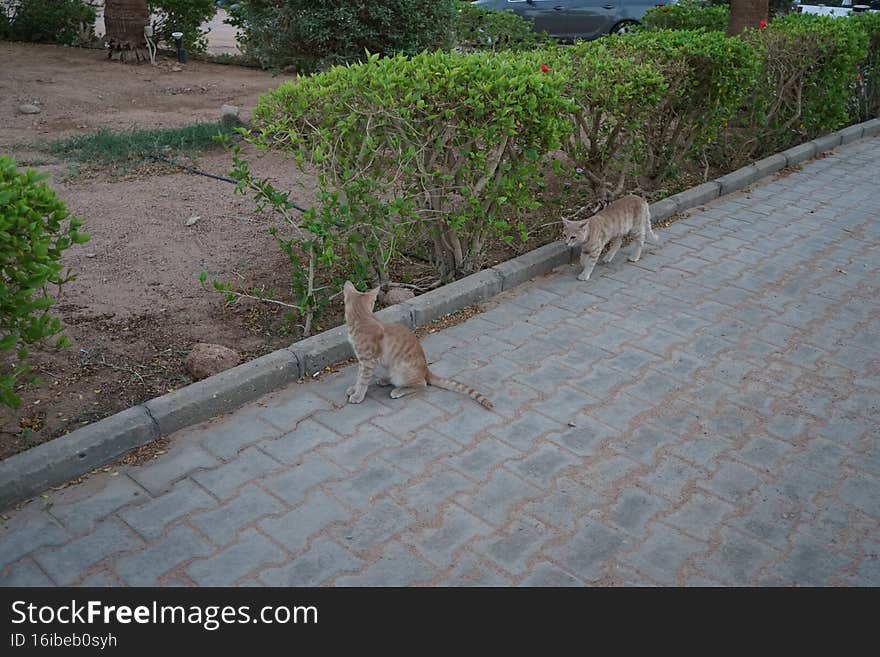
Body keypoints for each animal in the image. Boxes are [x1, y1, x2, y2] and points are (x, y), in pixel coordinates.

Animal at [344, 282, 496, 410]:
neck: (362, 318)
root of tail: (426, 370)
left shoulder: (368, 361)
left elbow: (363, 380)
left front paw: (358, 395)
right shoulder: (362, 361)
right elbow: (359, 376)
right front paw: (354, 389)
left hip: (401, 371)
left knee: (421, 384)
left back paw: (398, 390)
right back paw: (385, 380)